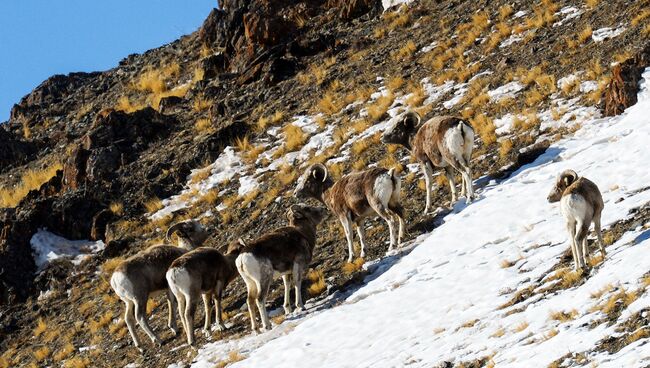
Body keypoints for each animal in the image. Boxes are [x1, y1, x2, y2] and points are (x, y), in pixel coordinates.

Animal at [109, 220, 208, 350]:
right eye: (190, 229)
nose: (206, 229)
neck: (184, 250)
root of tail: (115, 279)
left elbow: (171, 304)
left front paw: (174, 328)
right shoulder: (170, 289)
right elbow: (172, 304)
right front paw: (174, 329)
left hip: (129, 302)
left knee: (128, 319)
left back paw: (140, 347)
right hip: (140, 299)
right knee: (139, 317)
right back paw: (158, 340)